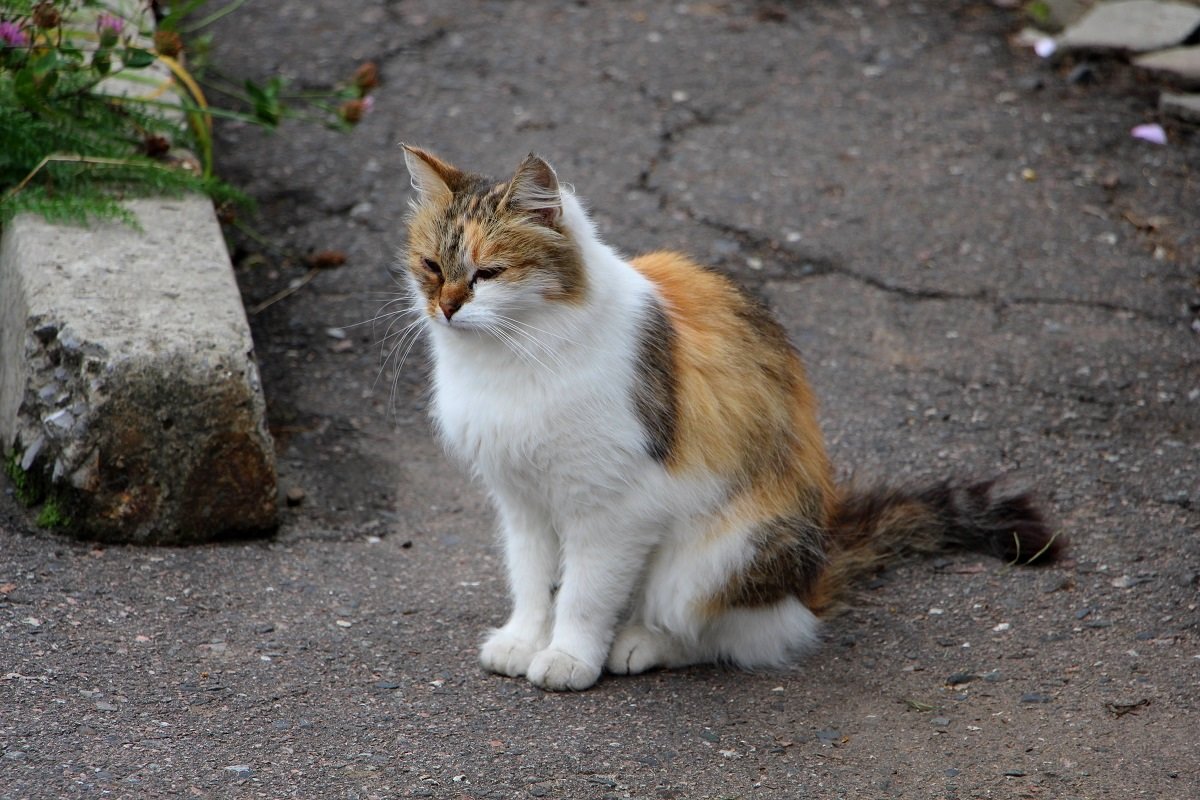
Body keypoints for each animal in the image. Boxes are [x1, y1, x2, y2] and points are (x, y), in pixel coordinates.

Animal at [398, 146, 1065, 690]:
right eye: (432, 267)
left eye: (488, 274)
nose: (446, 309)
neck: (511, 358)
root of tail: (819, 565)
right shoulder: (523, 503)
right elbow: (533, 583)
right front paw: (523, 641)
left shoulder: (611, 510)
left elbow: (584, 595)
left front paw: (568, 657)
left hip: (716, 555)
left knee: (742, 632)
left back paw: (640, 643)